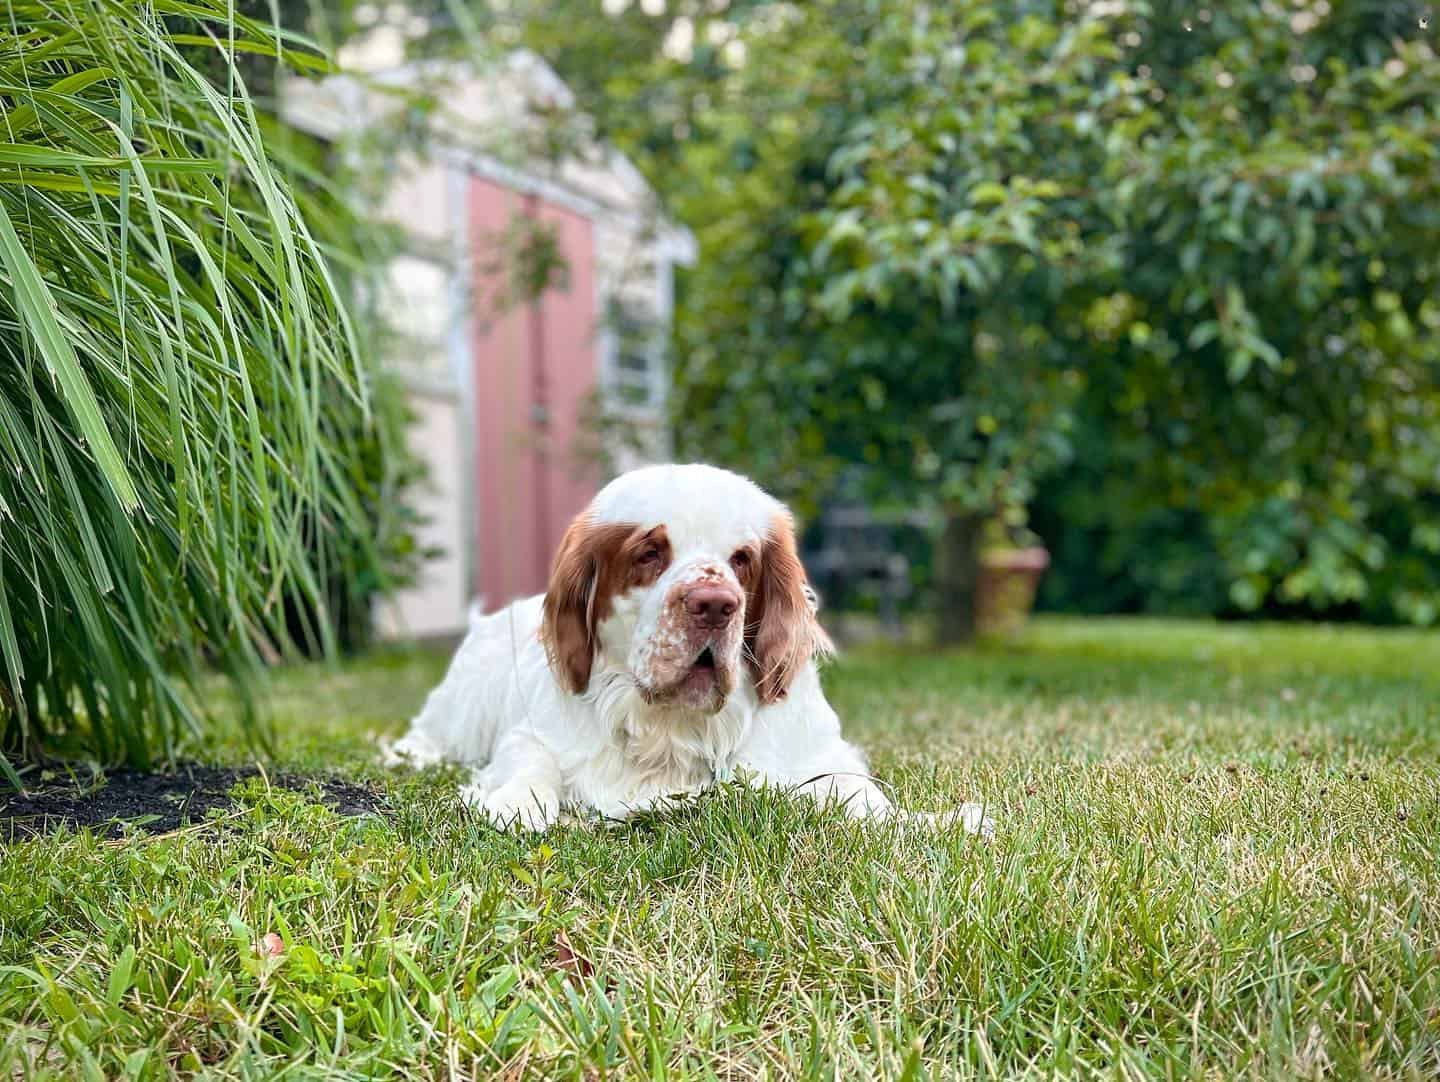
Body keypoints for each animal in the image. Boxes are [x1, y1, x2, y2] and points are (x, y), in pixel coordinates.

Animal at [383, 461, 990, 835]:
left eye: (742, 559)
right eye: (649, 553)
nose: (715, 604)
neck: (671, 727)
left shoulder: (816, 757)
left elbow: (856, 795)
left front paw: (940, 822)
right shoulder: (532, 735)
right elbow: (533, 766)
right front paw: (512, 802)